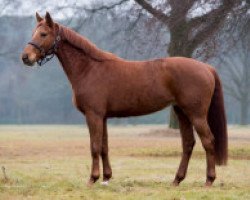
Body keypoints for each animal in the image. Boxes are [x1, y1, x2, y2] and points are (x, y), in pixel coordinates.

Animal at [22, 12, 228, 187]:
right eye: (34, 32)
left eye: (43, 34)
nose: (26, 57)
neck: (89, 68)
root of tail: (207, 68)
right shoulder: (103, 117)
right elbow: (104, 146)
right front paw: (106, 178)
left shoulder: (93, 115)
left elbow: (94, 146)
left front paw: (92, 179)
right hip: (182, 112)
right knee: (188, 144)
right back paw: (177, 180)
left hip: (196, 114)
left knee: (208, 141)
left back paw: (209, 180)